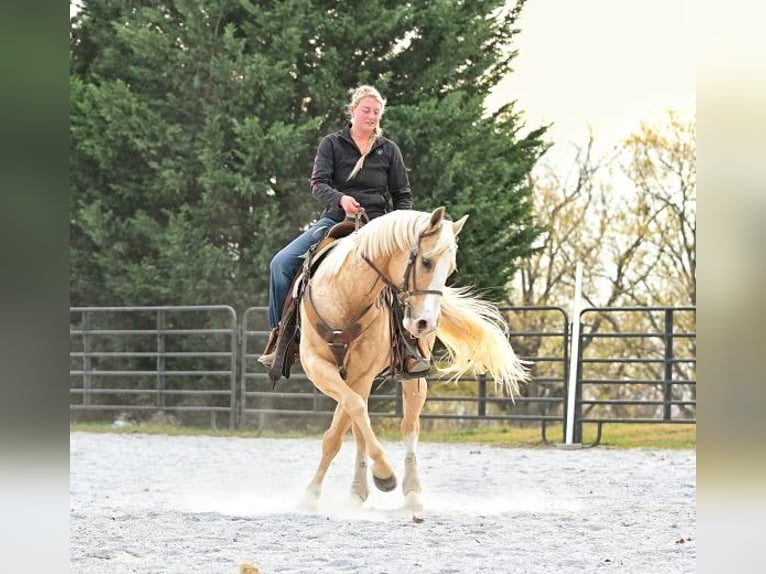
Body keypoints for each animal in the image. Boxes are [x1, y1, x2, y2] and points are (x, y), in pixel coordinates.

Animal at [298, 206, 528, 520]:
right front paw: (318, 492)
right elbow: (349, 418)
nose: (425, 322)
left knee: (409, 426)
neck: (345, 295)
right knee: (359, 424)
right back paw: (358, 492)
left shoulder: (361, 374)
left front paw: (382, 475)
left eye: (451, 269)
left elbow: (342, 425)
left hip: (414, 378)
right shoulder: (316, 366)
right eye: (427, 262)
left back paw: (412, 493)